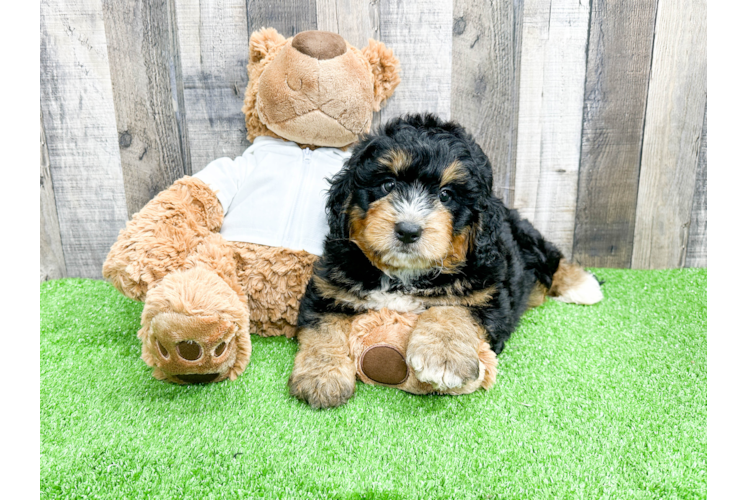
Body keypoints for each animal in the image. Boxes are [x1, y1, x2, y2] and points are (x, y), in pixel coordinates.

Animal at [286, 114, 600, 410]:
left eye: (446, 195)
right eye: (387, 184)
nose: (408, 230)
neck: (404, 275)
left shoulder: (488, 293)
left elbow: (453, 307)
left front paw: (443, 357)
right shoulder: (328, 287)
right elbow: (324, 330)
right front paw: (321, 377)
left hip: (527, 238)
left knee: (553, 259)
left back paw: (583, 285)